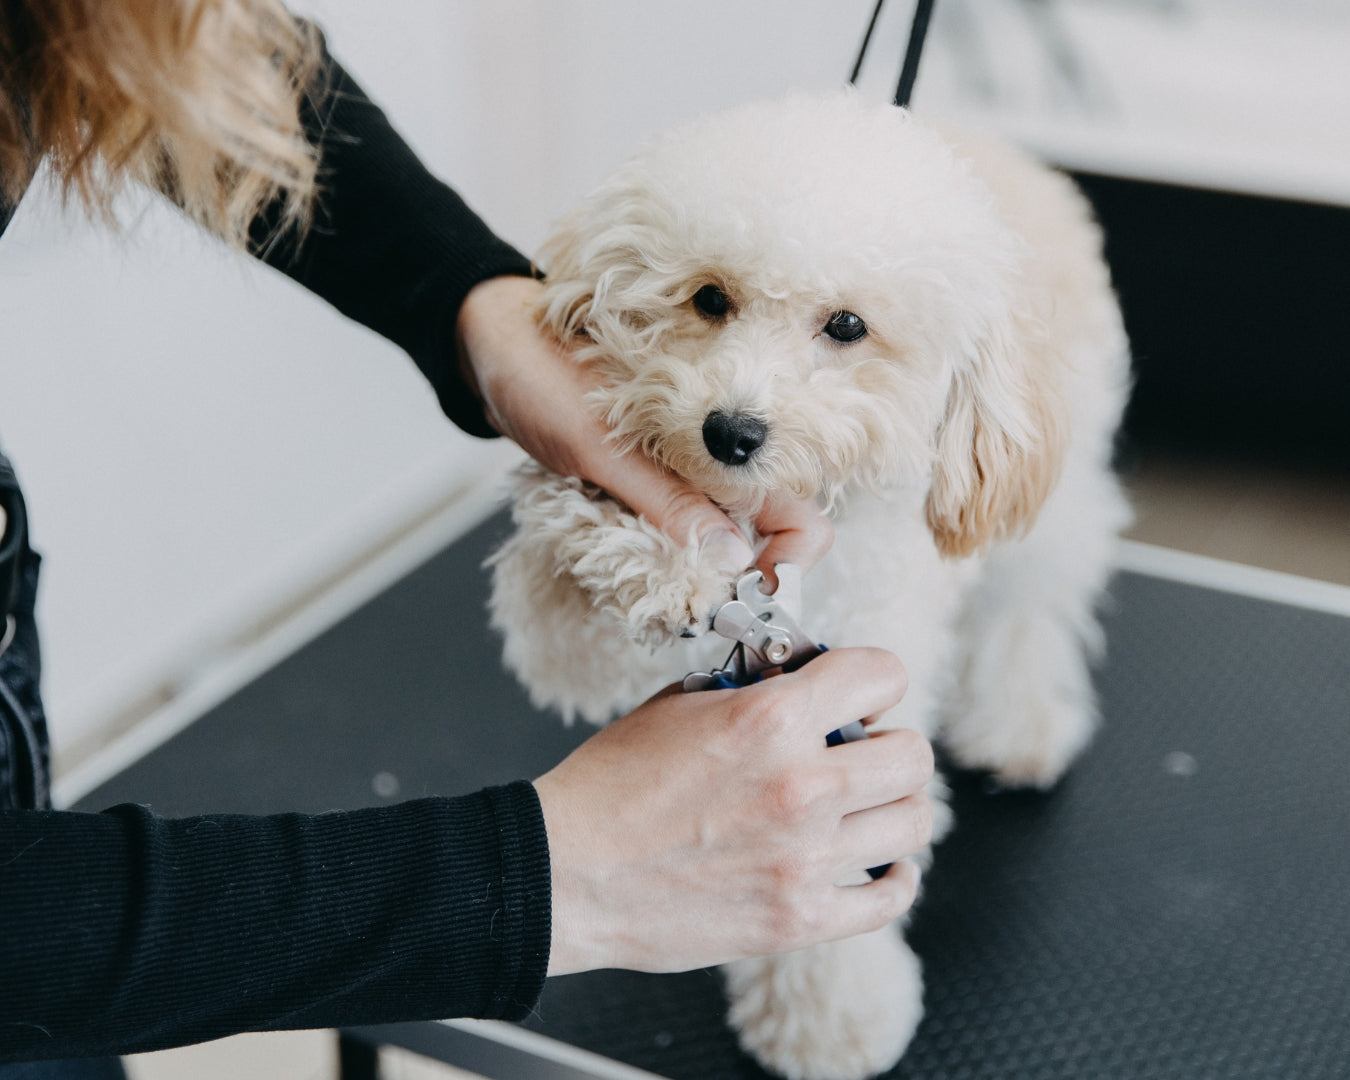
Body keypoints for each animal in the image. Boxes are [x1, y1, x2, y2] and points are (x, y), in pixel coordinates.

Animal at [491, 95, 1134, 1080]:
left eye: (846, 326)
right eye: (709, 297)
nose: (731, 431)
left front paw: (830, 1021)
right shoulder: (577, 645)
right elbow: (570, 586)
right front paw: (646, 546)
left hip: (1049, 501)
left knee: (1031, 607)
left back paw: (1020, 724)